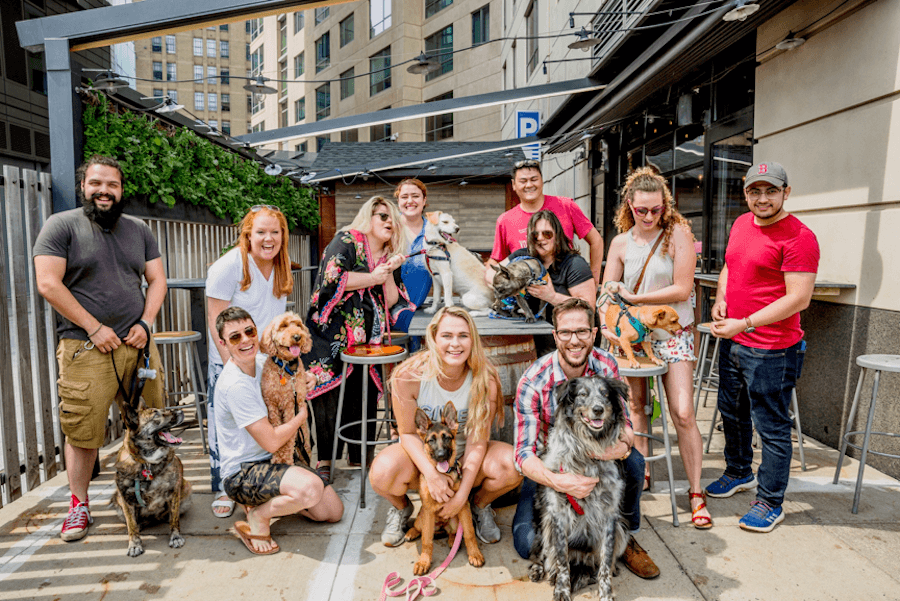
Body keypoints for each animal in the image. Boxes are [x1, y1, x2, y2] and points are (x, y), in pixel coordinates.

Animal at [114, 396, 192, 556]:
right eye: (156, 415)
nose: (181, 411)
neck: (147, 463)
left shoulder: (173, 493)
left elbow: (174, 519)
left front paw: (175, 537)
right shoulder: (125, 499)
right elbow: (131, 524)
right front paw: (134, 544)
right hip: (117, 501)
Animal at [258, 312, 314, 466]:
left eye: (299, 325)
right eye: (283, 326)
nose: (297, 336)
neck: (285, 366)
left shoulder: (291, 405)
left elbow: (288, 436)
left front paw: (283, 458)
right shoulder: (271, 404)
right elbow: (277, 429)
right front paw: (280, 456)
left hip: (305, 441)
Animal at [404, 400, 486, 576]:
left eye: (447, 438)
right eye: (431, 441)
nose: (441, 455)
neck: (444, 476)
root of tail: (441, 525)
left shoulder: (463, 507)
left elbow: (469, 533)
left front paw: (474, 554)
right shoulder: (428, 511)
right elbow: (426, 541)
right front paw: (424, 562)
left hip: (455, 520)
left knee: (453, 533)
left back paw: (452, 541)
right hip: (422, 518)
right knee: (419, 528)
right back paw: (411, 532)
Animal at [532, 378, 628, 600]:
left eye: (605, 394)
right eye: (583, 394)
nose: (598, 409)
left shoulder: (610, 516)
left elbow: (605, 561)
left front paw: (605, 592)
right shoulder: (558, 515)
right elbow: (561, 560)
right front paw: (561, 589)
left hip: (621, 533)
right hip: (544, 525)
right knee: (542, 554)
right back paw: (538, 569)